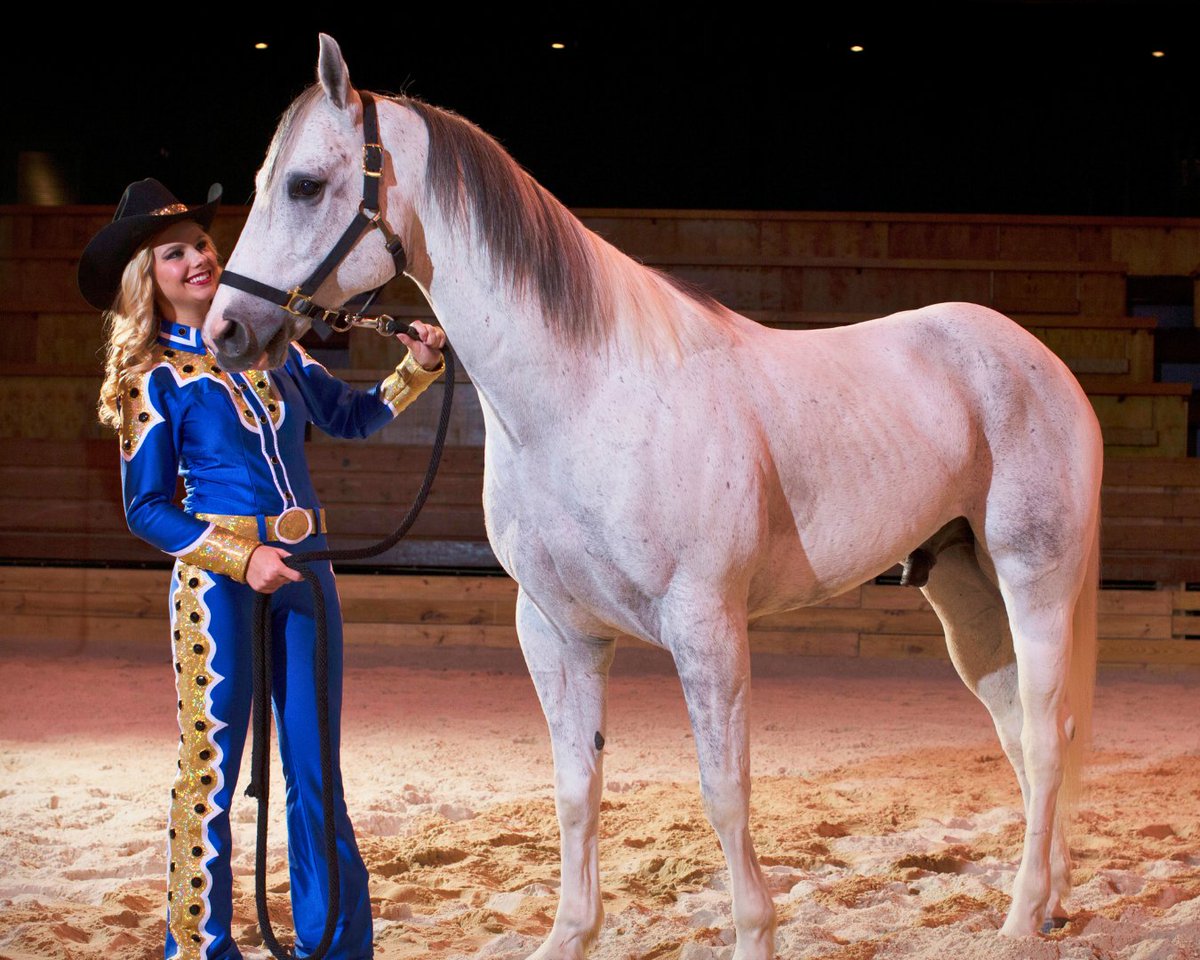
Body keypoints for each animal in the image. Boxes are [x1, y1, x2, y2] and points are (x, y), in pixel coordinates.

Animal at [204, 34, 1103, 959]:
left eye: (306, 183)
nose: (225, 330)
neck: (590, 397)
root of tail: (1037, 359)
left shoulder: (706, 626)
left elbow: (724, 790)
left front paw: (754, 934)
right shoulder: (555, 631)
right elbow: (575, 789)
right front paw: (570, 933)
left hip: (1035, 579)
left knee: (1046, 733)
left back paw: (1022, 916)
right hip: (964, 590)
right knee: (1021, 733)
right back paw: (1052, 898)